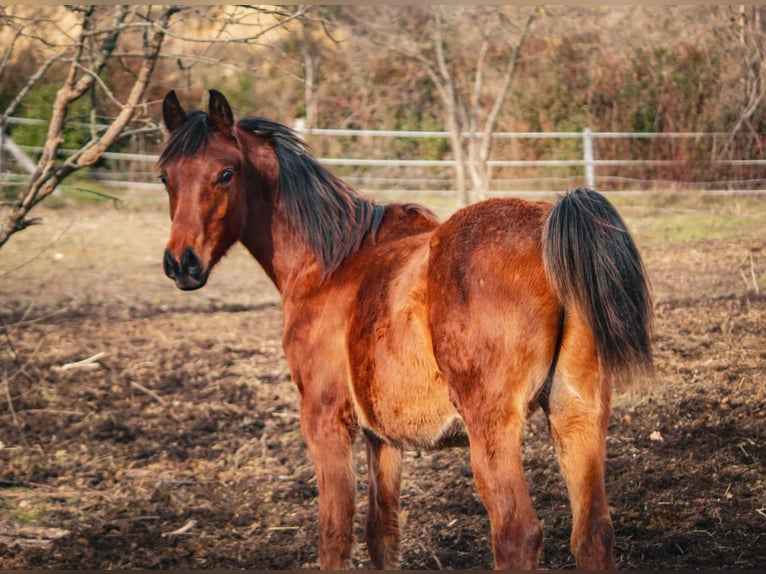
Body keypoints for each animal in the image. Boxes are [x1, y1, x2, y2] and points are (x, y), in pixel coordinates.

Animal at [157, 89, 653, 570]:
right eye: (165, 176)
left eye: (225, 173)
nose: (181, 263)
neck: (330, 264)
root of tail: (548, 227)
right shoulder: (382, 439)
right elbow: (382, 536)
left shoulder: (325, 421)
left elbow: (335, 535)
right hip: (576, 413)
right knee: (593, 533)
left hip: (493, 428)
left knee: (517, 535)